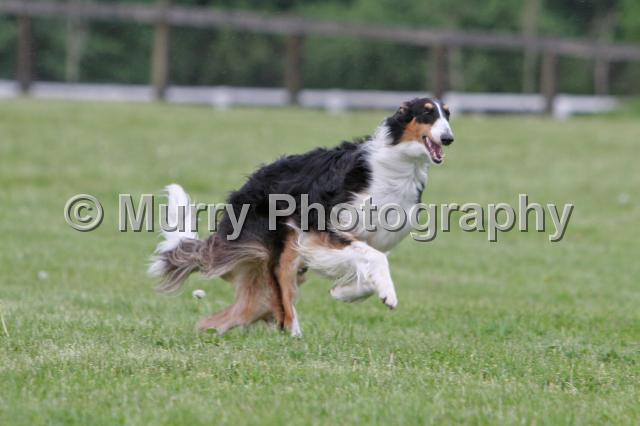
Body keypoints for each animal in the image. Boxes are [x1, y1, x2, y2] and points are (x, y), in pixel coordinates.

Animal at [149, 97, 454, 336]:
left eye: (447, 114)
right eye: (427, 112)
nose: (449, 138)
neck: (396, 167)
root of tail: (246, 187)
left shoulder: (371, 238)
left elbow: (368, 268)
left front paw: (343, 293)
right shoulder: (324, 229)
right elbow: (375, 259)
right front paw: (388, 294)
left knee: (229, 315)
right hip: (284, 243)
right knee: (281, 288)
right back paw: (293, 331)